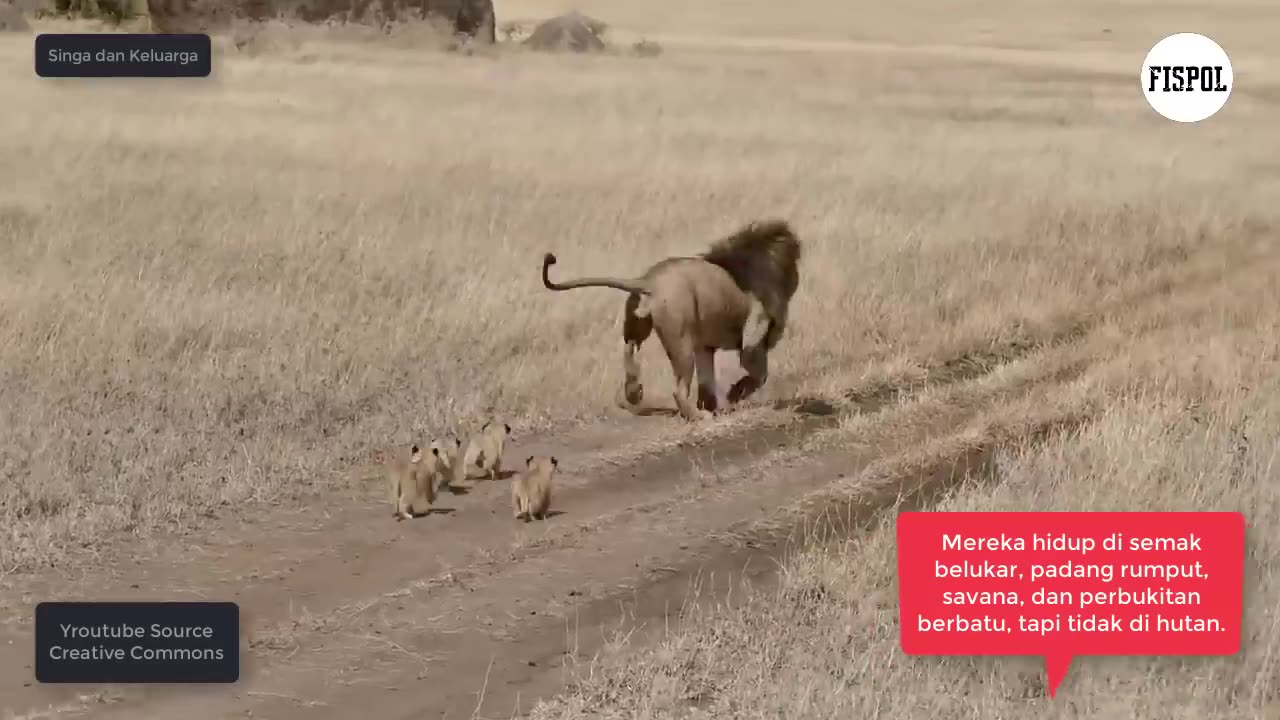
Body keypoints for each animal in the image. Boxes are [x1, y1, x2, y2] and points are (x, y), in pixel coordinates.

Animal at [540, 219, 798, 420]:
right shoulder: (753, 341)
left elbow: (707, 379)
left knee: (629, 348)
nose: (795, 280)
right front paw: (733, 395)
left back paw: (634, 390)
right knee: (678, 389)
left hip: (637, 322)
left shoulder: (704, 345)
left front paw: (712, 405)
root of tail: (649, 280)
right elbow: (759, 376)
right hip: (680, 340)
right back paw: (696, 416)